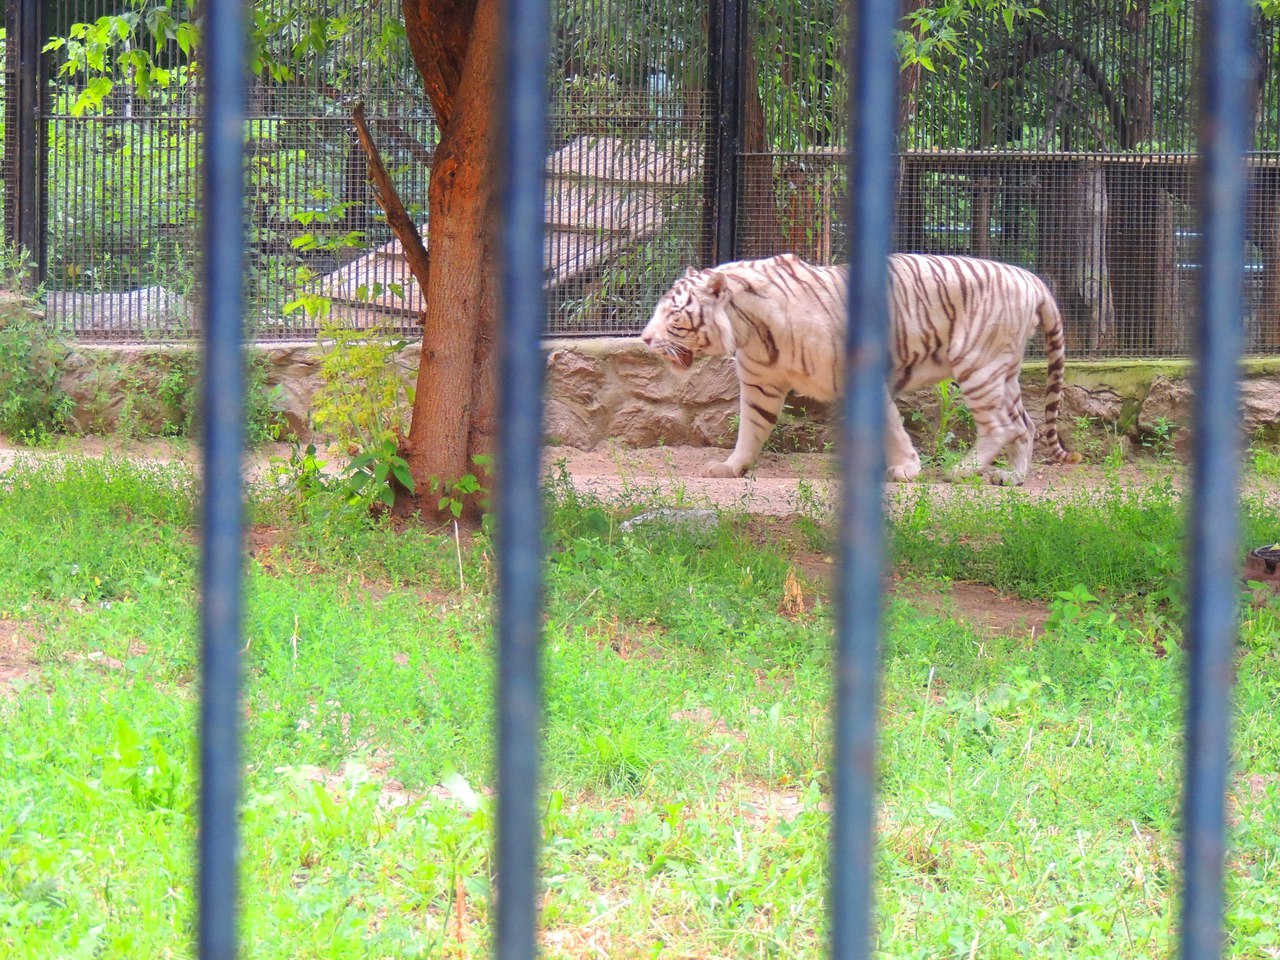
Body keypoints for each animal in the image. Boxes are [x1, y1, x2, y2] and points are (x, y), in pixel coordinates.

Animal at [640, 252, 1080, 483]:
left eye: (673, 315)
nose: (643, 339)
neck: (749, 329)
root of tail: (1033, 280)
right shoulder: (761, 386)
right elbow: (750, 430)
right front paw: (731, 467)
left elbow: (891, 426)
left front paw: (906, 469)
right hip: (1003, 374)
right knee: (1026, 424)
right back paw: (1012, 478)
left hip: (979, 367)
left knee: (1002, 425)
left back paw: (961, 470)